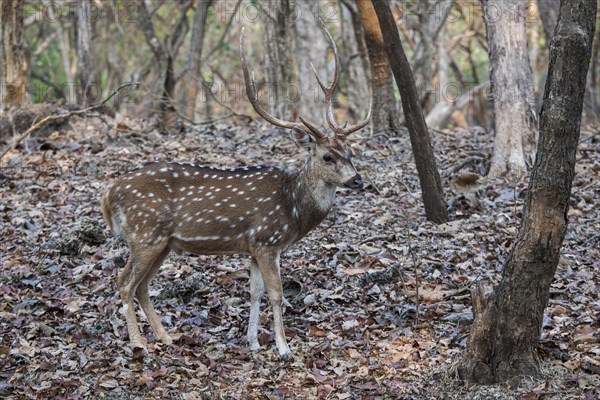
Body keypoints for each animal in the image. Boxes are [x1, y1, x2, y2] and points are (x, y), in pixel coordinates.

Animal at [99, 22, 370, 360]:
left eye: (351, 152)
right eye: (327, 157)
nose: (358, 181)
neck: (292, 208)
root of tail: (109, 193)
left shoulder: (253, 246)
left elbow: (254, 292)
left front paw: (253, 342)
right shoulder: (267, 241)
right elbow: (276, 294)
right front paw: (283, 348)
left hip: (162, 243)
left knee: (142, 285)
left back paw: (166, 337)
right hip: (144, 234)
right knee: (124, 282)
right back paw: (139, 344)